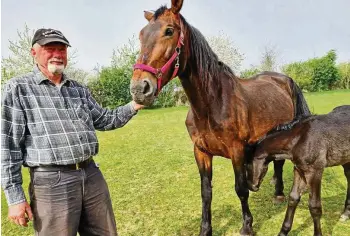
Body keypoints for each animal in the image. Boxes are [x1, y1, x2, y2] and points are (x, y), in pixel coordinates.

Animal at [130, 0, 310, 235]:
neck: (211, 104)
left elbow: (241, 189)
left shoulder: (237, 151)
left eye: (169, 31)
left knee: (279, 163)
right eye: (141, 35)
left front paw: (247, 225)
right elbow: (206, 191)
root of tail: (283, 79)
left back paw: (279, 193)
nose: (139, 89)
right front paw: (205, 229)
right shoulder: (201, 152)